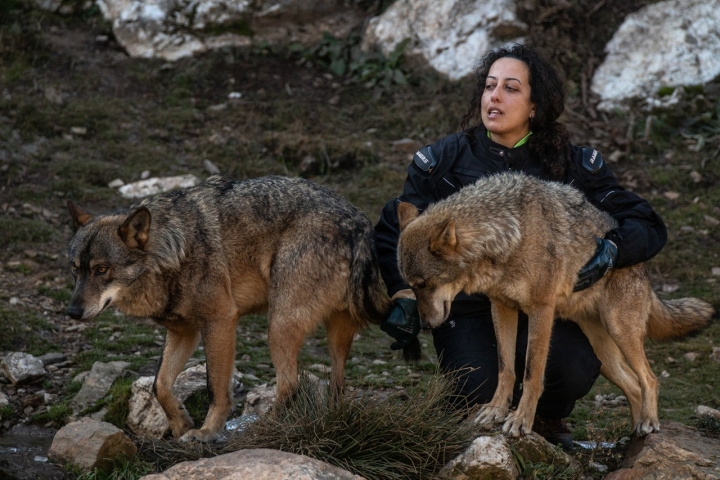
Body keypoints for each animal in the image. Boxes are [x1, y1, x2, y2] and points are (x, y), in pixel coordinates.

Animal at [66, 174, 415, 442]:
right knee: (338, 385)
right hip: (335, 332)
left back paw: (262, 428)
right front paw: (180, 424)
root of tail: (359, 222)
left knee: (290, 383)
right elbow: (160, 384)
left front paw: (207, 432)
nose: (72, 312)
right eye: (75, 270)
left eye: (101, 270)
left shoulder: (221, 321)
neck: (173, 250)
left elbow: (216, 388)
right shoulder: (184, 333)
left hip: (278, 324)